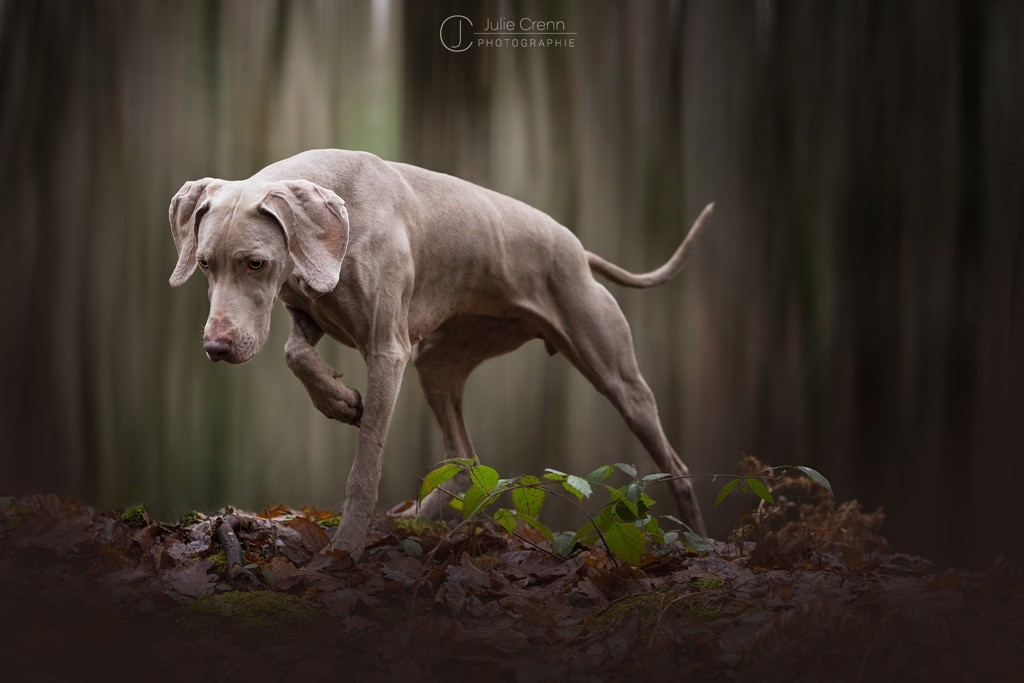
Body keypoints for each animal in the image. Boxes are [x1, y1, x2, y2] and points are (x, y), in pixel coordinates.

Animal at [167, 149, 712, 561]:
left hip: (616, 374)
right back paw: (410, 523)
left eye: (256, 263)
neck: (343, 217)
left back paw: (699, 541)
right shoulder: (310, 309)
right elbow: (293, 353)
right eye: (204, 264)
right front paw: (340, 401)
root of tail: (579, 251)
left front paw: (346, 547)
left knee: (675, 463)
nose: (215, 346)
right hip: (439, 362)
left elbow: (365, 464)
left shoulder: (388, 352)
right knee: (465, 458)